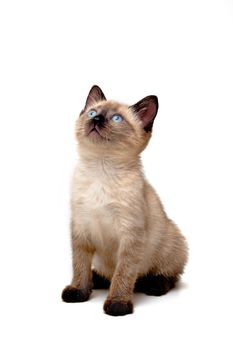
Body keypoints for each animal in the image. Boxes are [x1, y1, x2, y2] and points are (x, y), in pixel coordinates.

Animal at [61, 85, 187, 318]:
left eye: (117, 118)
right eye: (92, 113)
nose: (96, 119)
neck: (100, 170)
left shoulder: (130, 237)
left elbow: (124, 274)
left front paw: (118, 304)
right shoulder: (80, 230)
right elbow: (79, 267)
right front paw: (79, 291)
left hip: (173, 241)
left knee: (168, 276)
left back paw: (153, 285)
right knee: (102, 273)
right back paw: (96, 281)